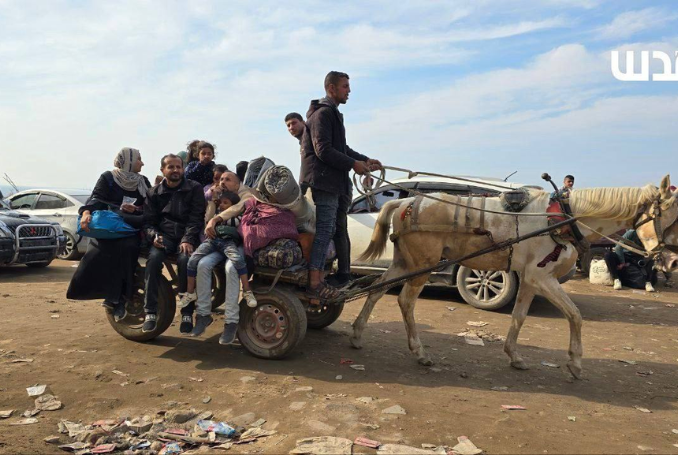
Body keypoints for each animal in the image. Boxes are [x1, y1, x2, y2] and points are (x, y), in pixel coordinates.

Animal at [354, 176, 676, 380]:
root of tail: (407, 203)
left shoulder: (531, 278)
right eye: (670, 214)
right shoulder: (542, 276)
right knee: (406, 301)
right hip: (423, 263)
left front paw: (514, 356)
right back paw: (419, 352)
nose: (670, 258)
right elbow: (574, 314)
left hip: (404, 262)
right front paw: (574, 362)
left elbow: (519, 316)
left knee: (376, 290)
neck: (562, 218)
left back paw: (358, 332)